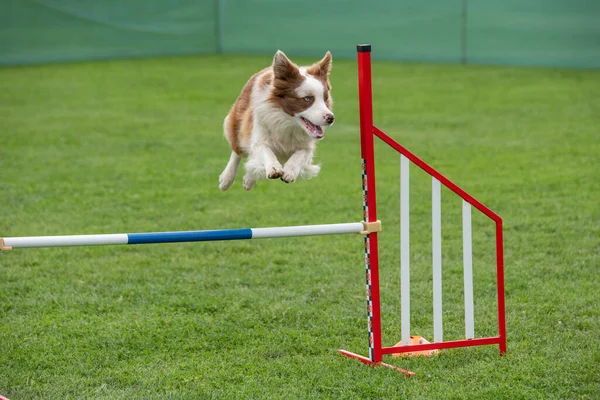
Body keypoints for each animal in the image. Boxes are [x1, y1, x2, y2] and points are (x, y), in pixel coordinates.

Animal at [219, 49, 332, 191]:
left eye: (325, 99)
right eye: (307, 99)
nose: (331, 118)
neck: (288, 122)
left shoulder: (307, 146)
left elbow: (300, 155)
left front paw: (290, 171)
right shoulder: (259, 135)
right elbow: (265, 151)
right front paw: (274, 168)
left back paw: (249, 180)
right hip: (238, 122)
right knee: (237, 151)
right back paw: (227, 178)